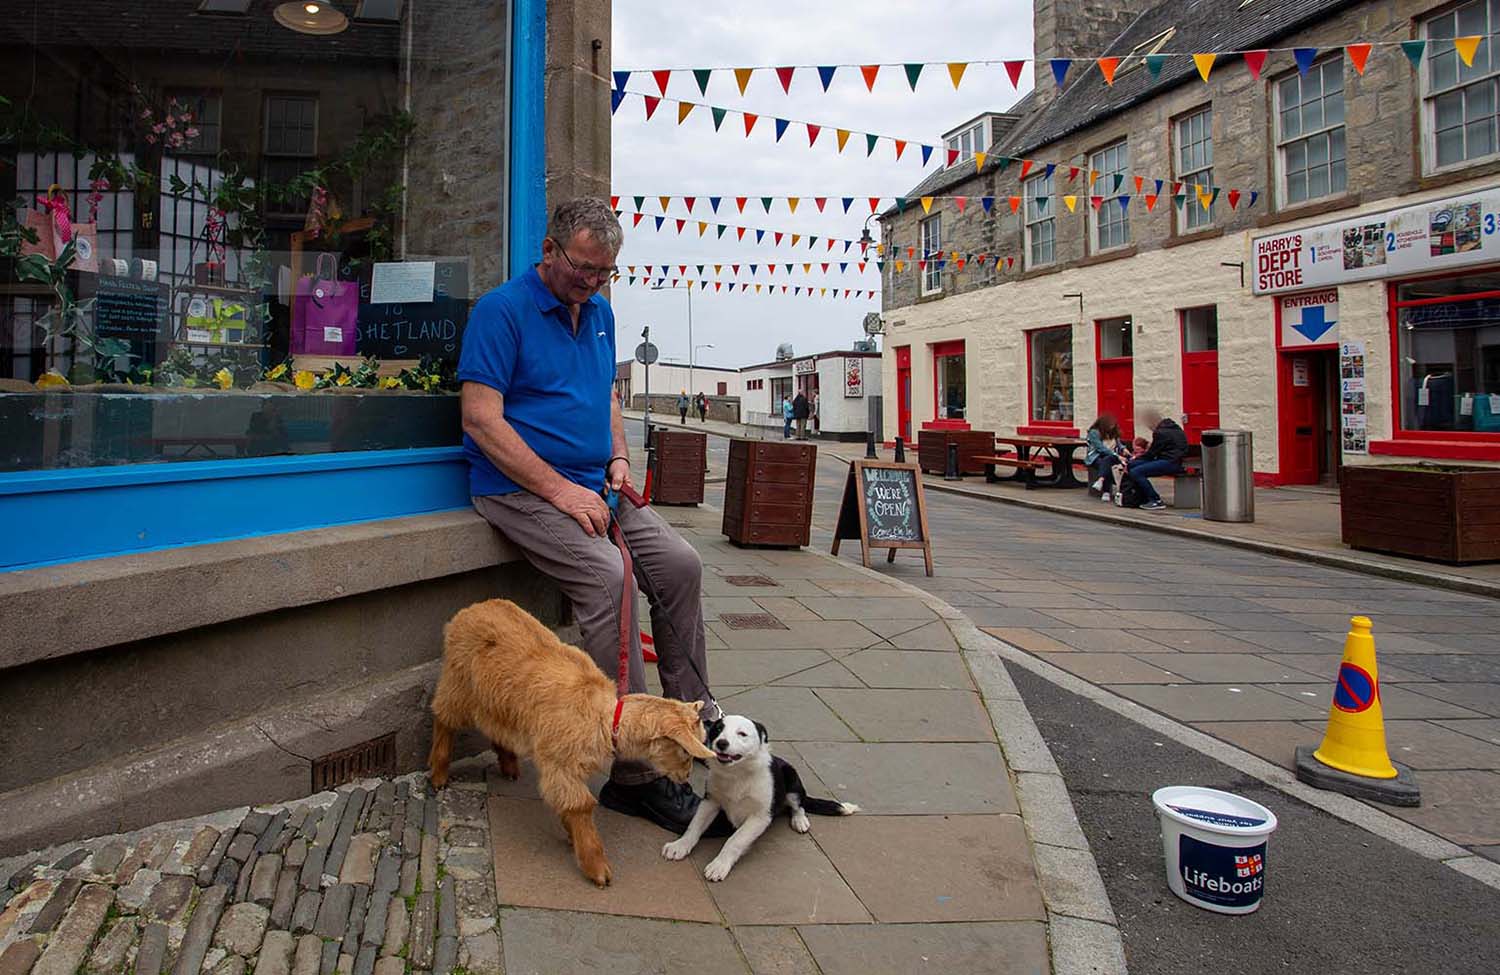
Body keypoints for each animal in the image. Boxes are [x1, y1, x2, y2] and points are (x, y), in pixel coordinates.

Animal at [432, 597, 717, 882]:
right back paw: (438, 774)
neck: (606, 717)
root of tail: (471, 609)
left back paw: (509, 765)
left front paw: (572, 836)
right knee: (443, 718)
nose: (686, 777)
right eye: (685, 751)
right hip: (457, 685)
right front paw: (596, 866)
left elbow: (569, 803)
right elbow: (580, 804)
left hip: (496, 700)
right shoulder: (560, 764)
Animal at [666, 711, 864, 876]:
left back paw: (799, 821)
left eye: (742, 734)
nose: (722, 743)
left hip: (792, 780)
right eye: (718, 730)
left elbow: (735, 840)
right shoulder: (710, 801)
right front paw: (680, 846)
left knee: (798, 805)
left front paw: (719, 865)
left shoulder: (760, 817)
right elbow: (694, 826)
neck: (737, 774)